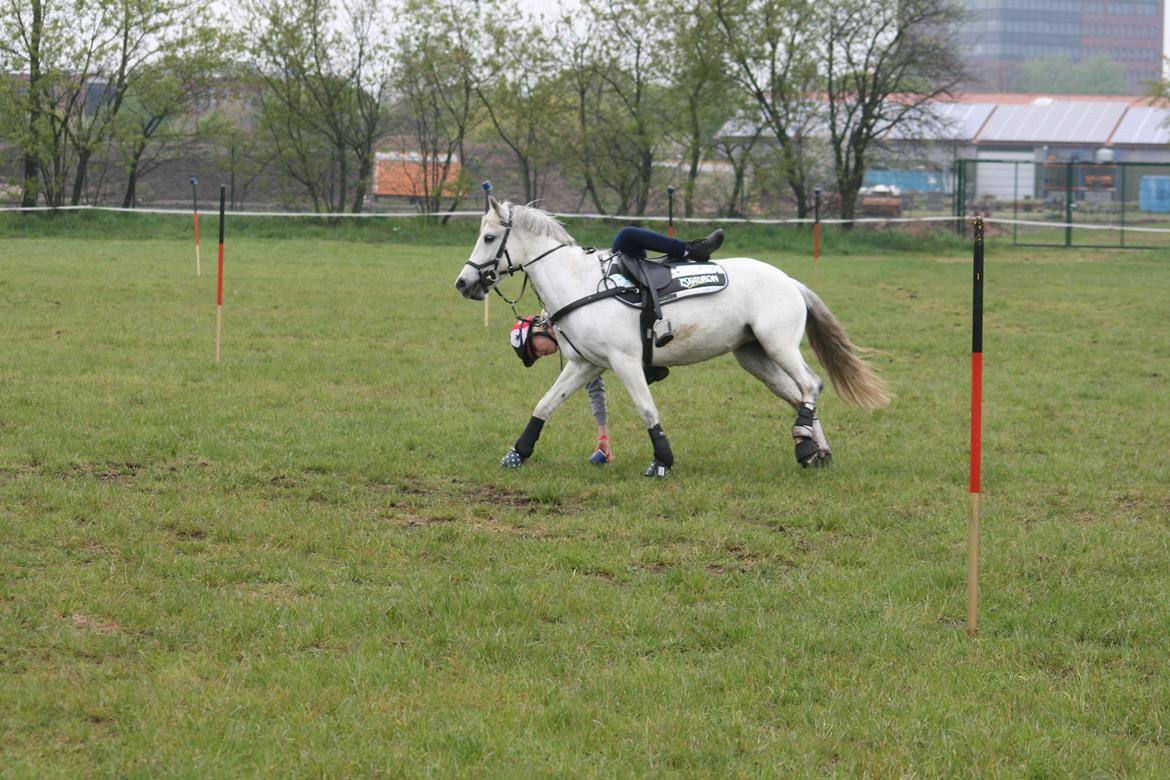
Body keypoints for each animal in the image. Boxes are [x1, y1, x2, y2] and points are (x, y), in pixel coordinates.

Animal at [451, 198, 889, 477]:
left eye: (488, 238)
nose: (463, 283)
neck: (580, 283)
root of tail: (790, 281)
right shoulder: (586, 364)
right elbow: (545, 405)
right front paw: (517, 453)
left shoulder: (626, 362)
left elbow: (647, 410)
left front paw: (662, 459)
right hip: (754, 356)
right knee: (799, 395)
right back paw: (816, 451)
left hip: (778, 345)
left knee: (811, 384)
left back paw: (804, 441)